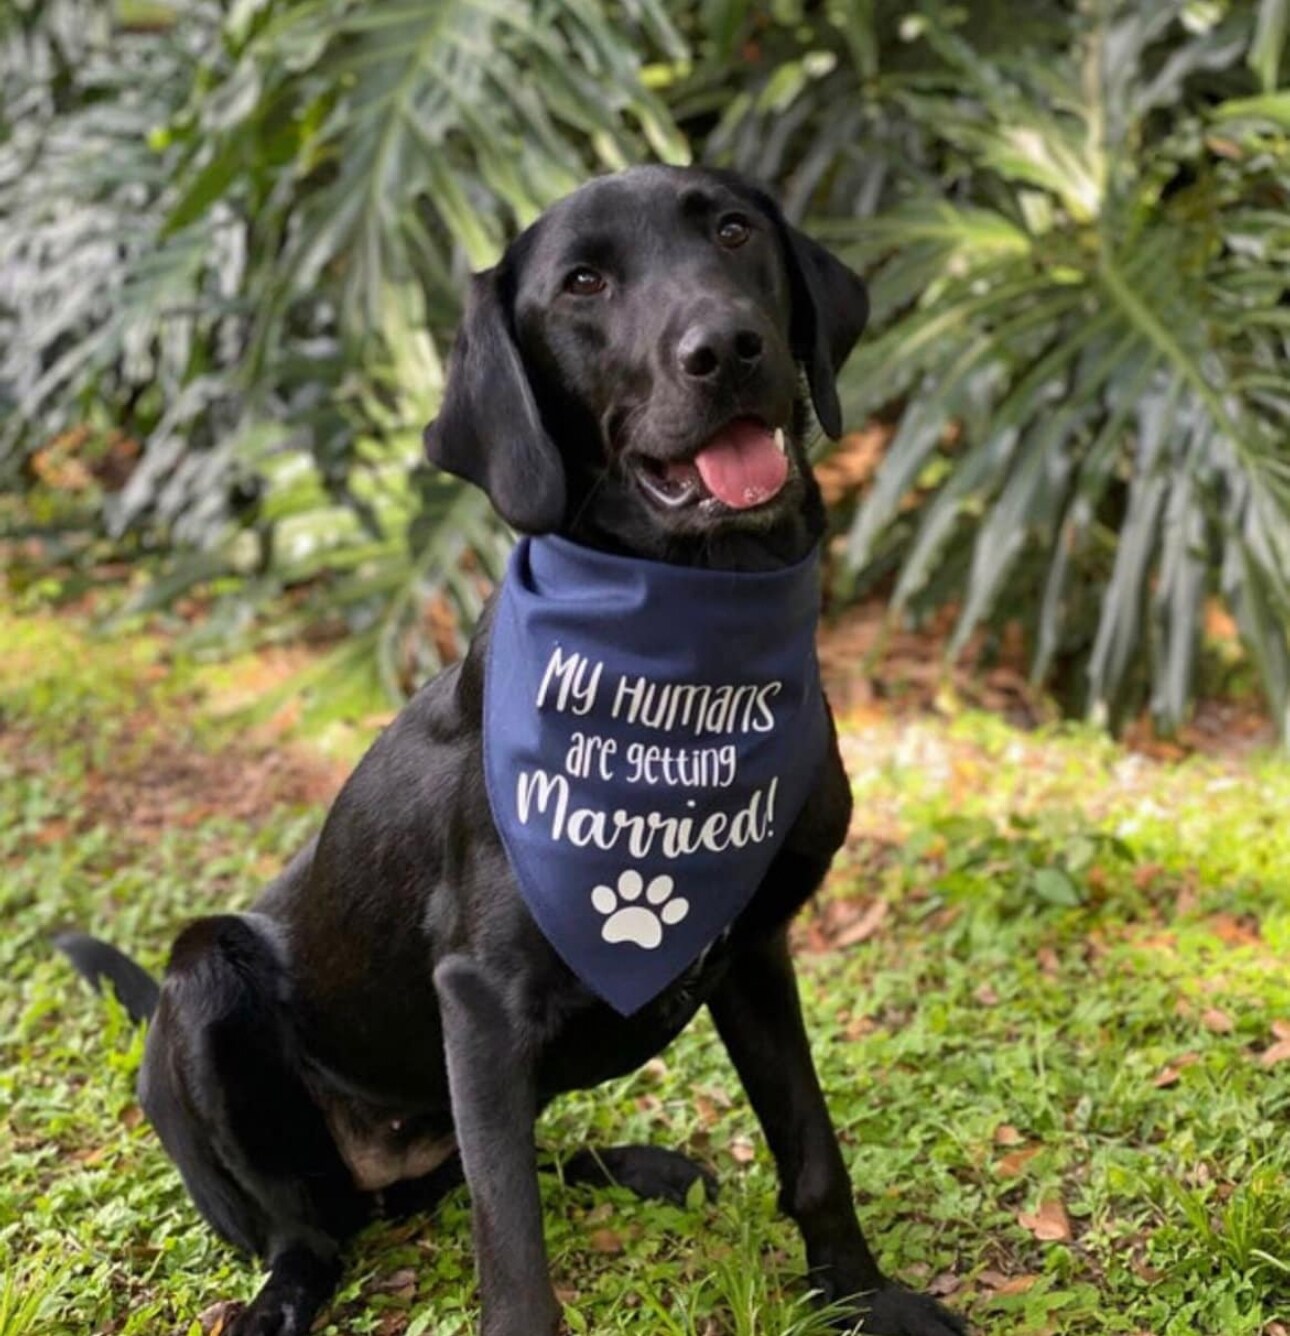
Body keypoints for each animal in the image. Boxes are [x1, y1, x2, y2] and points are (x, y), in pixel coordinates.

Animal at [63, 167, 972, 1336]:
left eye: (733, 230)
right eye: (582, 283)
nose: (727, 347)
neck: (688, 642)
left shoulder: (754, 945)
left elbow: (812, 1149)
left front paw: (859, 1295)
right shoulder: (482, 1002)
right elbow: (514, 1257)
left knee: (513, 1167)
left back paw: (634, 1165)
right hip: (207, 981)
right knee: (315, 1232)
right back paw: (283, 1294)